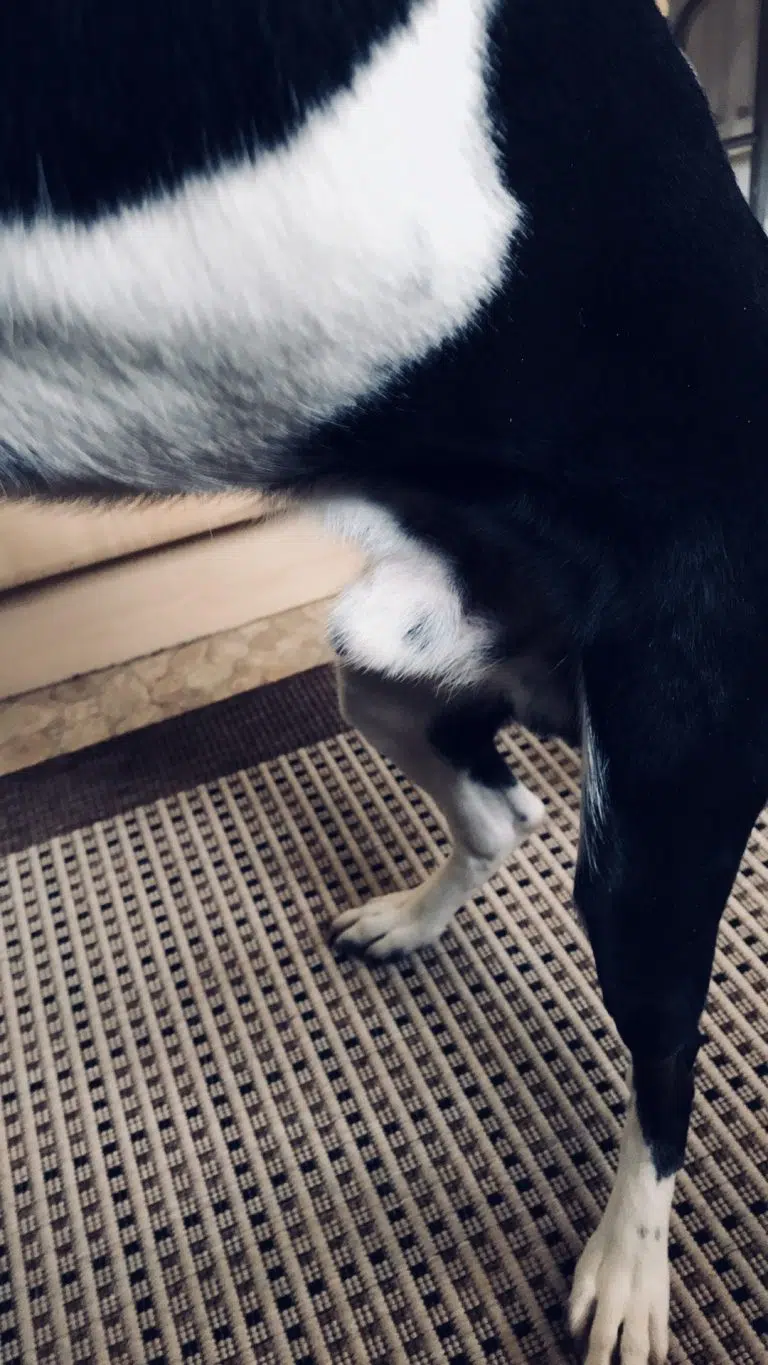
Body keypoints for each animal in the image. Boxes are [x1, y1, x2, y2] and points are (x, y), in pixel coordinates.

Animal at [2, 3, 767, 1361]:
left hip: (657, 807)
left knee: (668, 1049)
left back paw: (628, 1271)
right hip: (392, 671)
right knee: (503, 813)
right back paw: (410, 921)